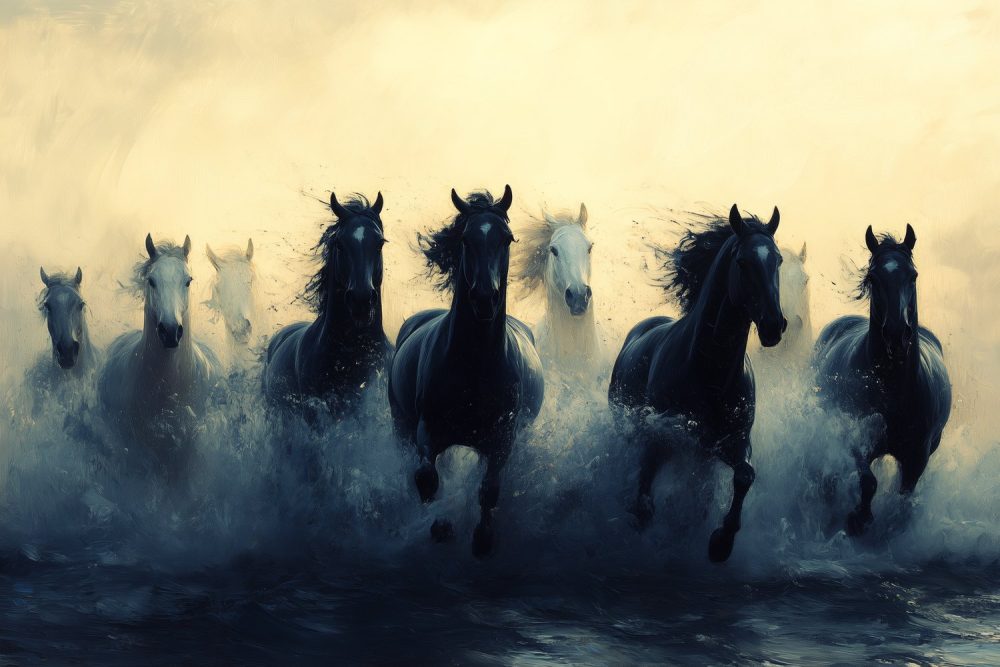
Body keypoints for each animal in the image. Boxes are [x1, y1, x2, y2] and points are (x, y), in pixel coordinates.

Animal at [388, 186, 544, 557]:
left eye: (507, 238)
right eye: (465, 239)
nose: (485, 298)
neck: (475, 364)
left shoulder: (501, 439)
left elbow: (489, 488)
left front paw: (483, 539)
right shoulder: (429, 429)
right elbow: (427, 479)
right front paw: (438, 525)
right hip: (401, 423)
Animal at [608, 205, 786, 563]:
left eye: (778, 260)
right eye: (742, 262)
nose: (774, 325)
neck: (709, 375)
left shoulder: (729, 442)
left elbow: (744, 476)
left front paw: (720, 542)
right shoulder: (660, 435)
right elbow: (645, 494)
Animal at [812, 224, 951, 536]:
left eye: (913, 275)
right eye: (874, 277)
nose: (897, 334)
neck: (893, 389)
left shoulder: (917, 456)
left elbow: (904, 497)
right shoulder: (856, 439)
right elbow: (868, 481)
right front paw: (859, 519)